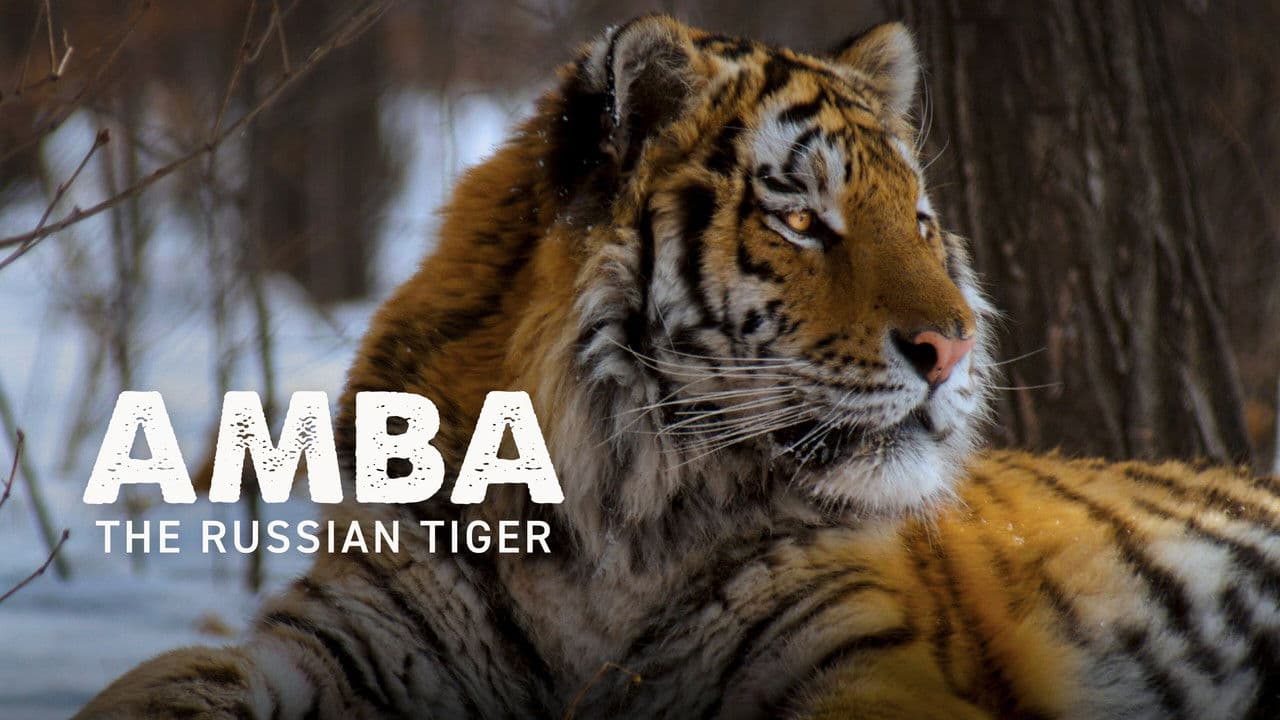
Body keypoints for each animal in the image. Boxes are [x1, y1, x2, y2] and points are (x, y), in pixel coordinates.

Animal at [76, 15, 1280, 720]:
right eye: (801, 219)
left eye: (922, 221)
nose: (956, 349)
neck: (609, 531)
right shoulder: (354, 634)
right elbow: (171, 679)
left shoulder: (862, 661)